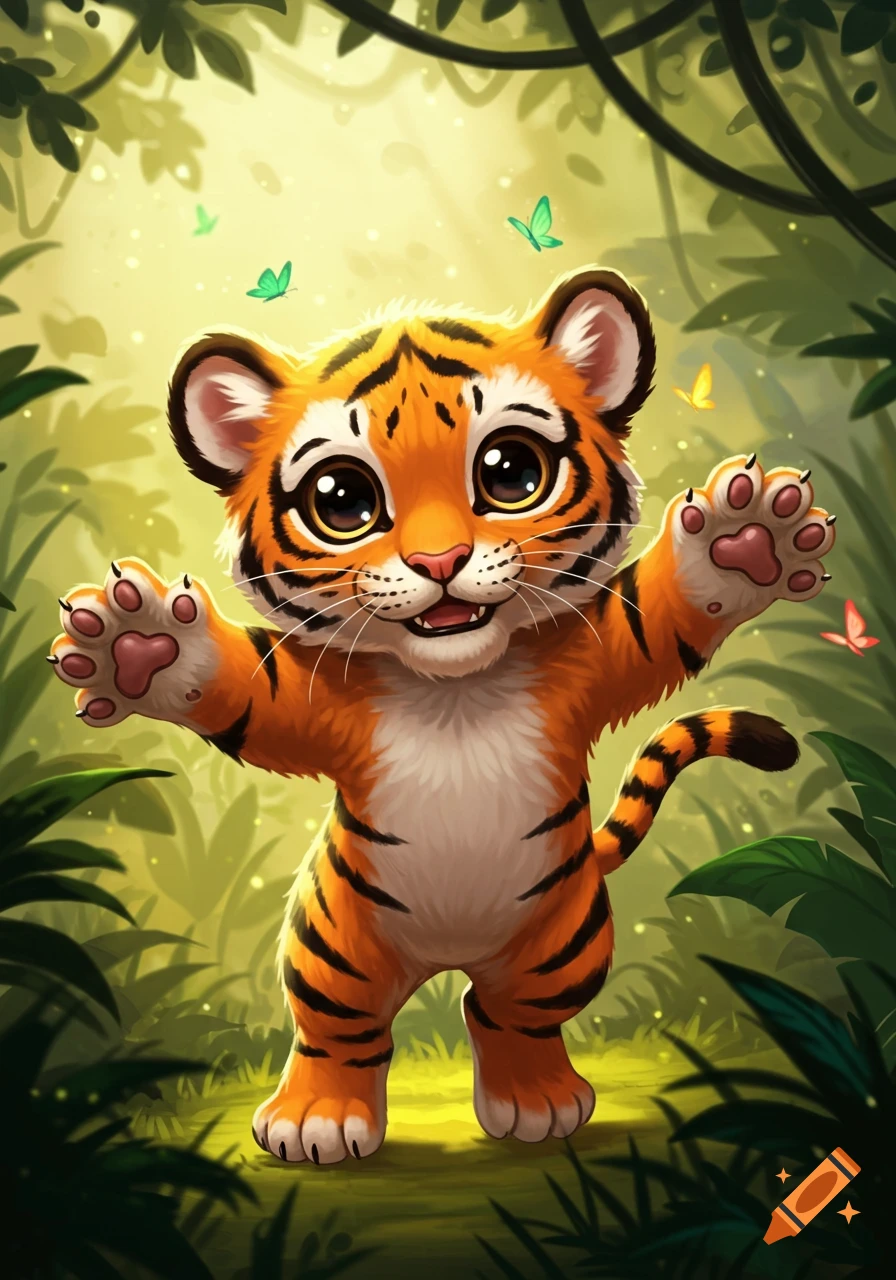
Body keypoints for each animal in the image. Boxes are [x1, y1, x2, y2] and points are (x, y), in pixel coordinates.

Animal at [50, 267, 835, 1165]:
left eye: (510, 471)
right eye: (342, 501)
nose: (440, 561)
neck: (455, 687)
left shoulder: (600, 652)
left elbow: (670, 606)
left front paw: (746, 542)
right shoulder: (314, 699)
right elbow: (238, 685)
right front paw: (138, 644)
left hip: (561, 946)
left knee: (501, 1013)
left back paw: (534, 1102)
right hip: (333, 951)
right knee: (344, 1033)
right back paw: (317, 1120)